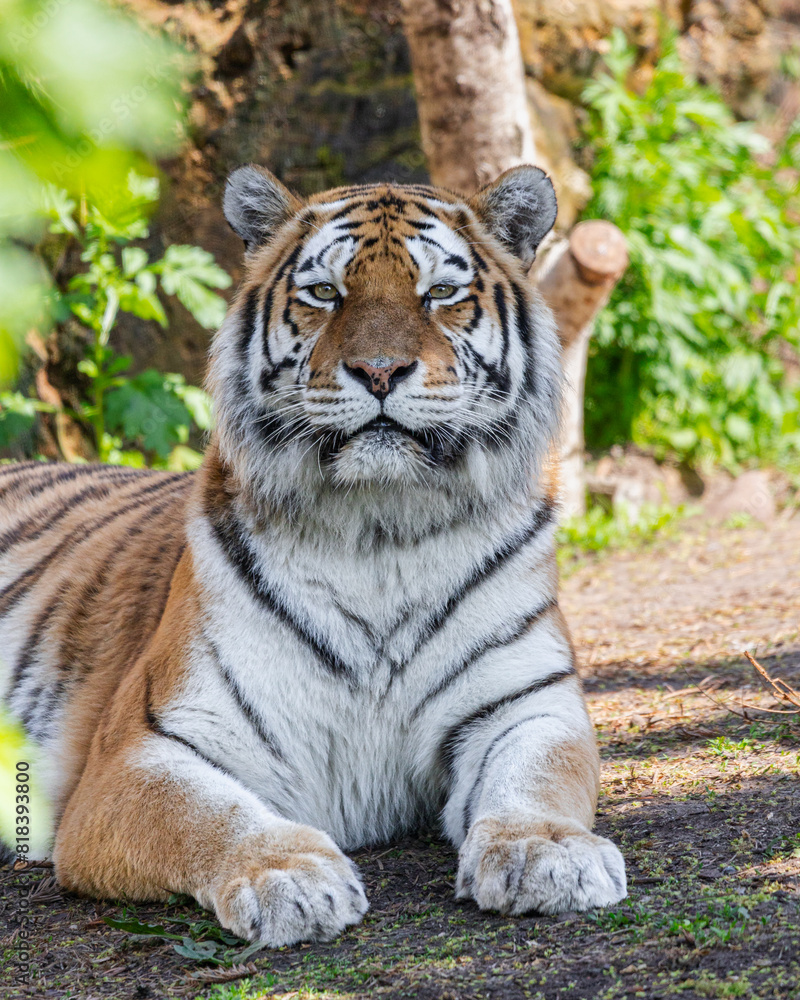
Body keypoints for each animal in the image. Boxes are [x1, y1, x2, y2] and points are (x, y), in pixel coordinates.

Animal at [0, 164, 626, 945]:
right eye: (325, 293)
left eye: (440, 294)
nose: (380, 371)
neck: (382, 531)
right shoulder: (140, 751)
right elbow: (211, 814)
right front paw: (287, 877)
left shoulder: (526, 704)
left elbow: (536, 778)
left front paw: (548, 853)